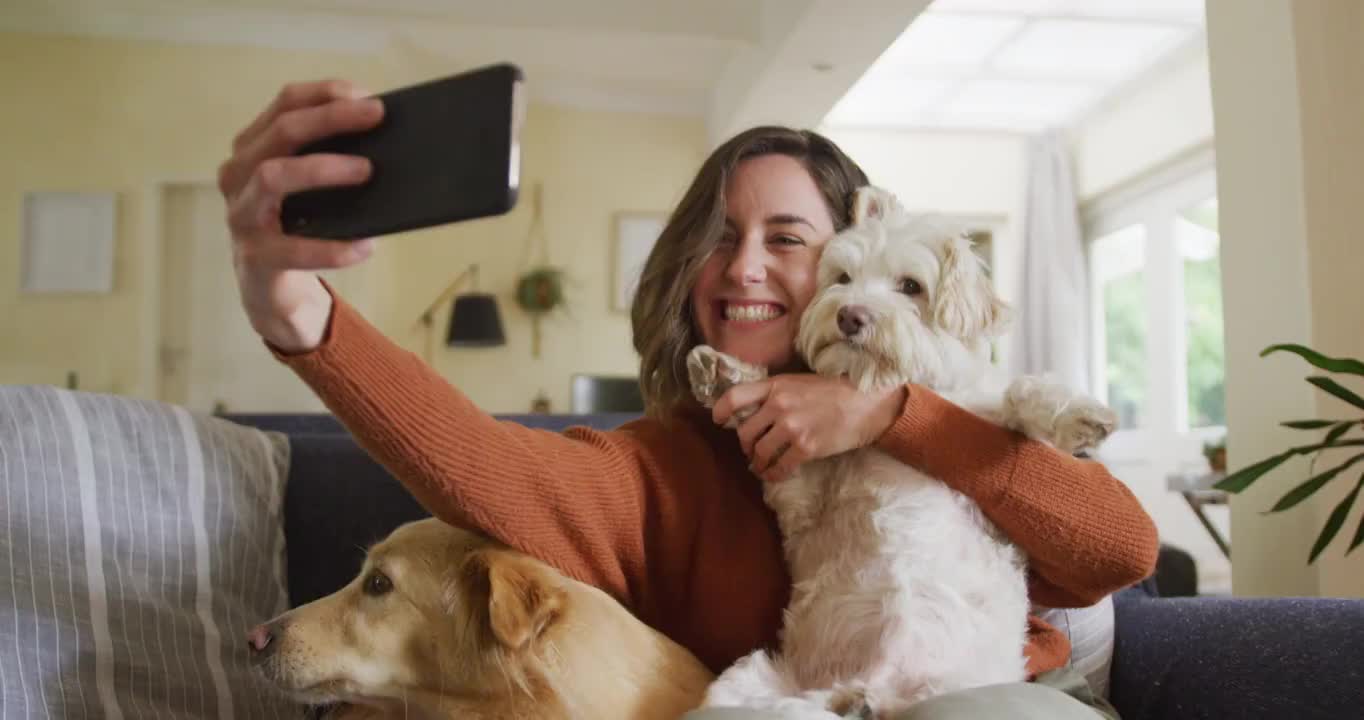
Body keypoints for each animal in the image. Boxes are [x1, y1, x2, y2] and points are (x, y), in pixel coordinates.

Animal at [687, 186, 1113, 720]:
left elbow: (1019, 394)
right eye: (842, 278)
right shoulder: (801, 500)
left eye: (911, 286)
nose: (850, 315)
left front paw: (1077, 414)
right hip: (750, 682)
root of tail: (882, 684)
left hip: (960, 685)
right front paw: (726, 374)